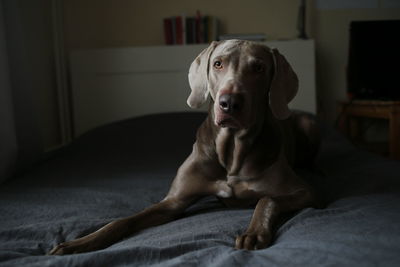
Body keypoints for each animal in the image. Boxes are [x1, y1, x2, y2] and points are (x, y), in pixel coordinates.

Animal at [49, 39, 318, 255]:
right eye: (218, 64)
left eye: (259, 68)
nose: (229, 103)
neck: (230, 153)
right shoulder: (173, 202)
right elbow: (123, 220)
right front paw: (79, 242)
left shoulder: (306, 192)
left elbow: (267, 199)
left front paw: (253, 233)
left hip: (308, 124)